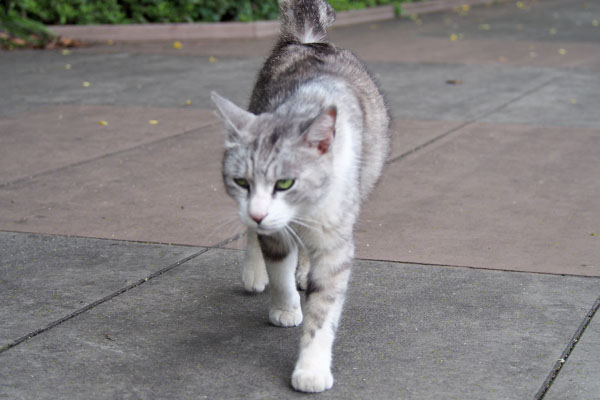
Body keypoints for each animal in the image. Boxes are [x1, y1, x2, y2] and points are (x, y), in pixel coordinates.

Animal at [211, 0, 390, 394]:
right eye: (241, 181)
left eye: (285, 183)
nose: (258, 213)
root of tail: (304, 41)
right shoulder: (271, 228)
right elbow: (278, 266)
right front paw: (285, 307)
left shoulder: (335, 240)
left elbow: (323, 309)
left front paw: (311, 368)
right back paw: (255, 271)